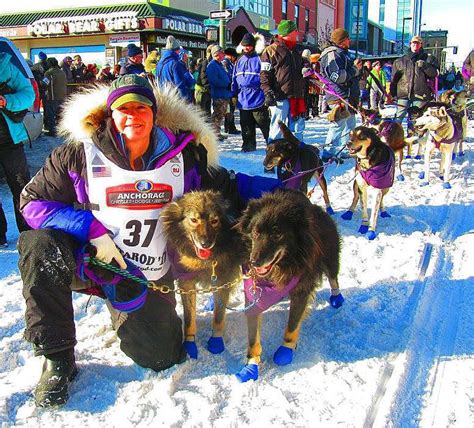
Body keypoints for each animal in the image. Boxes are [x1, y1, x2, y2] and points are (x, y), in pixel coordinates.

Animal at [160, 191, 246, 358]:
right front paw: (189, 343)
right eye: (194, 220)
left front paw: (216, 341)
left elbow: (219, 317)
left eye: (214, 221)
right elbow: (189, 318)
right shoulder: (186, 282)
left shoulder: (223, 280)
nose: (206, 244)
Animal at [235, 189, 342, 382]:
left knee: (333, 277)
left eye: (277, 234)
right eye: (255, 232)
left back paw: (337, 297)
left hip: (330, 256)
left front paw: (286, 349)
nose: (254, 262)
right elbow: (253, 336)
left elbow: (293, 324)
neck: (281, 267)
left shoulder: (301, 289)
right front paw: (251, 364)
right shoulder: (253, 293)